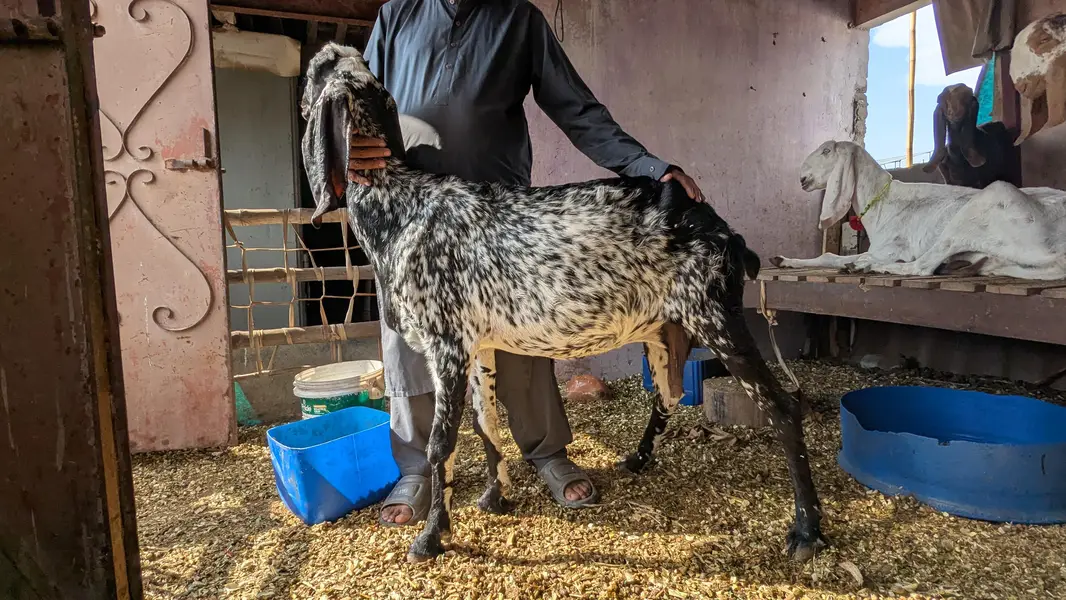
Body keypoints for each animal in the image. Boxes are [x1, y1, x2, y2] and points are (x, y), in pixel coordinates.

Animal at [300, 43, 826, 564]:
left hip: (716, 317)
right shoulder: (478, 345)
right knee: (667, 394)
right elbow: (487, 424)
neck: (403, 205)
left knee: (783, 409)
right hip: (664, 330)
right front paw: (494, 498)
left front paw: (431, 538)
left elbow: (441, 444)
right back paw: (637, 459)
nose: (303, 90)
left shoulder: (445, 344)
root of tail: (719, 226)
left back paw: (807, 530)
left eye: (314, 71)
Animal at [770, 140, 1066, 280]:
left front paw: (859, 263)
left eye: (827, 151)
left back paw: (870, 267)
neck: (883, 201)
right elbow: (829, 256)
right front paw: (784, 260)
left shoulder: (892, 248)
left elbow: (834, 257)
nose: (802, 178)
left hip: (989, 201)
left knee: (922, 266)